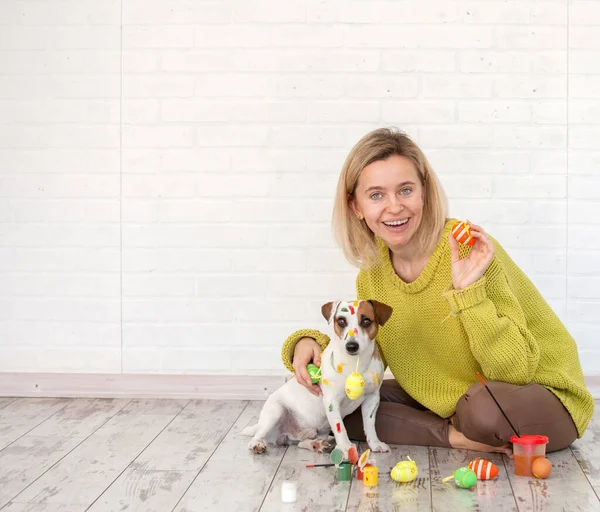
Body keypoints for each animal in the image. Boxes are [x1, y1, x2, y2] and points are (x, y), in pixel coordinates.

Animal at [241, 298, 392, 458]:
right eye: (341, 321)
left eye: (366, 321)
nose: (351, 346)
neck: (356, 364)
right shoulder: (332, 401)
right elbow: (340, 428)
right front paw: (346, 448)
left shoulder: (372, 398)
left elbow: (370, 425)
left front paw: (375, 444)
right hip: (276, 411)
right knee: (256, 437)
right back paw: (257, 445)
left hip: (318, 431)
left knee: (300, 443)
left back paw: (315, 445)